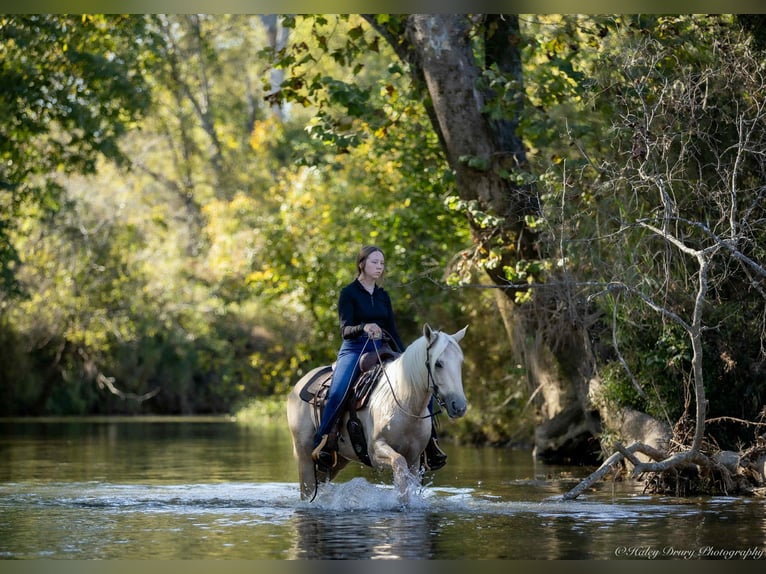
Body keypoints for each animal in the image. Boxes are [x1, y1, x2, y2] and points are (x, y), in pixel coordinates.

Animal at [286, 323, 468, 502]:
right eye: (438, 364)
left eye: (460, 362)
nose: (459, 406)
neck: (403, 401)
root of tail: (300, 384)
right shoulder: (375, 451)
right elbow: (399, 464)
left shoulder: (415, 459)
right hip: (304, 455)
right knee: (307, 490)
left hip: (338, 459)